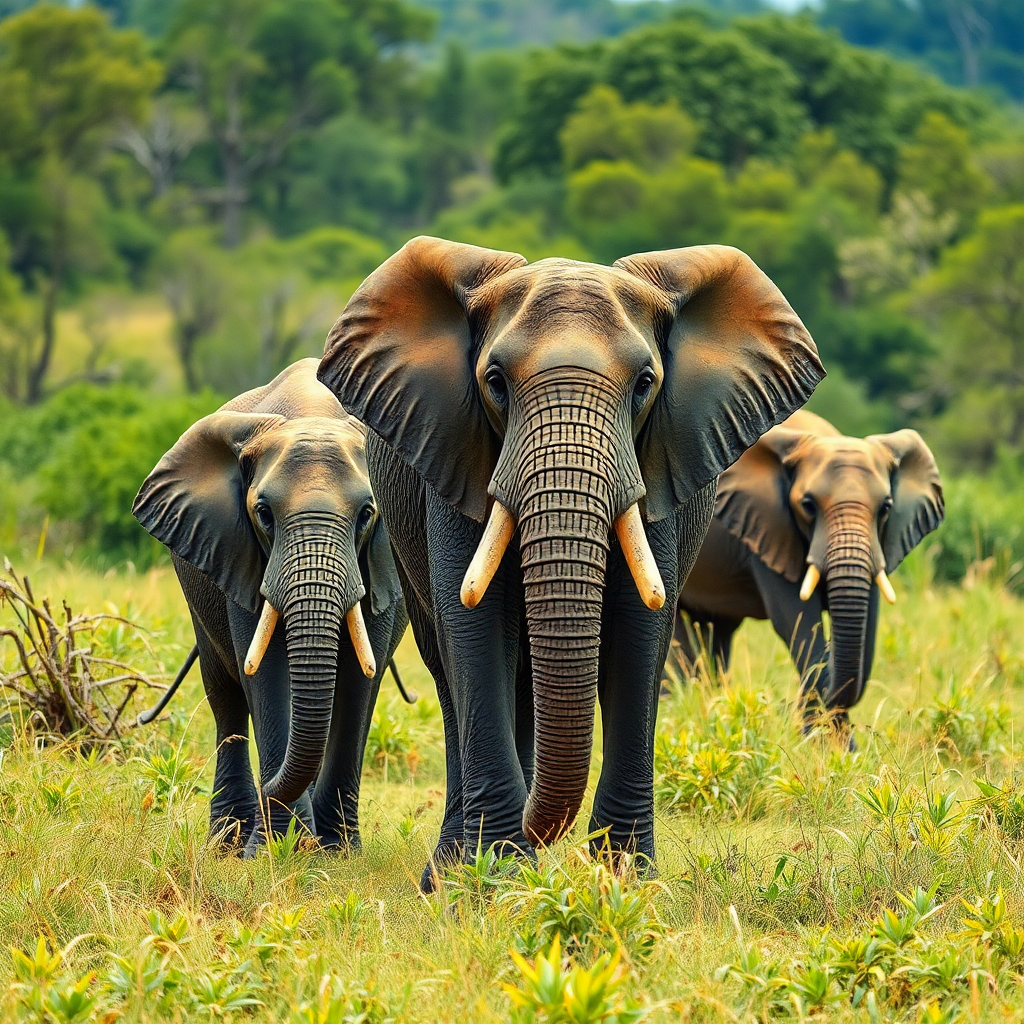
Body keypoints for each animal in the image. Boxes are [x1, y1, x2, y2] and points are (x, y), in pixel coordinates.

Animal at [132, 358, 407, 855]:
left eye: (367, 513)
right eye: (263, 513)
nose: (272, 789)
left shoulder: (382, 561)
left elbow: (361, 679)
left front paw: (337, 852)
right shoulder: (238, 551)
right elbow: (264, 672)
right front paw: (276, 850)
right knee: (225, 697)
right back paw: (228, 843)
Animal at [316, 236, 824, 885]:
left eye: (645, 382)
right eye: (495, 381)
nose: (539, 832)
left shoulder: (657, 466)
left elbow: (639, 627)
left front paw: (626, 878)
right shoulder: (455, 449)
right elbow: (475, 623)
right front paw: (496, 875)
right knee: (450, 667)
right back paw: (453, 868)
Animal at [675, 409, 943, 729]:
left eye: (886, 508)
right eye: (808, 505)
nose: (784, 706)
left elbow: (866, 630)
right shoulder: (771, 528)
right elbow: (797, 621)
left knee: (717, 633)